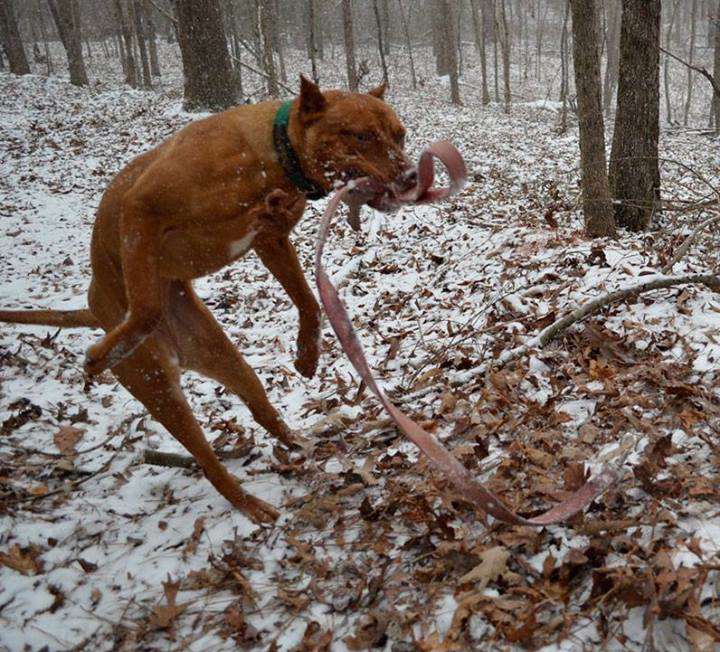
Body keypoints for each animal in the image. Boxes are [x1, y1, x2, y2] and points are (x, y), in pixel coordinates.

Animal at [0, 76, 414, 524]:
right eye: (360, 136)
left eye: (400, 135)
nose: (411, 176)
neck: (271, 155)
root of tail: (95, 306)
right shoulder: (140, 210)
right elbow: (146, 307)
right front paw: (104, 353)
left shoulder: (270, 240)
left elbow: (308, 299)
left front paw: (307, 353)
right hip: (160, 390)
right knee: (208, 462)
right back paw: (248, 502)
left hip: (224, 358)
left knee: (259, 406)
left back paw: (297, 444)